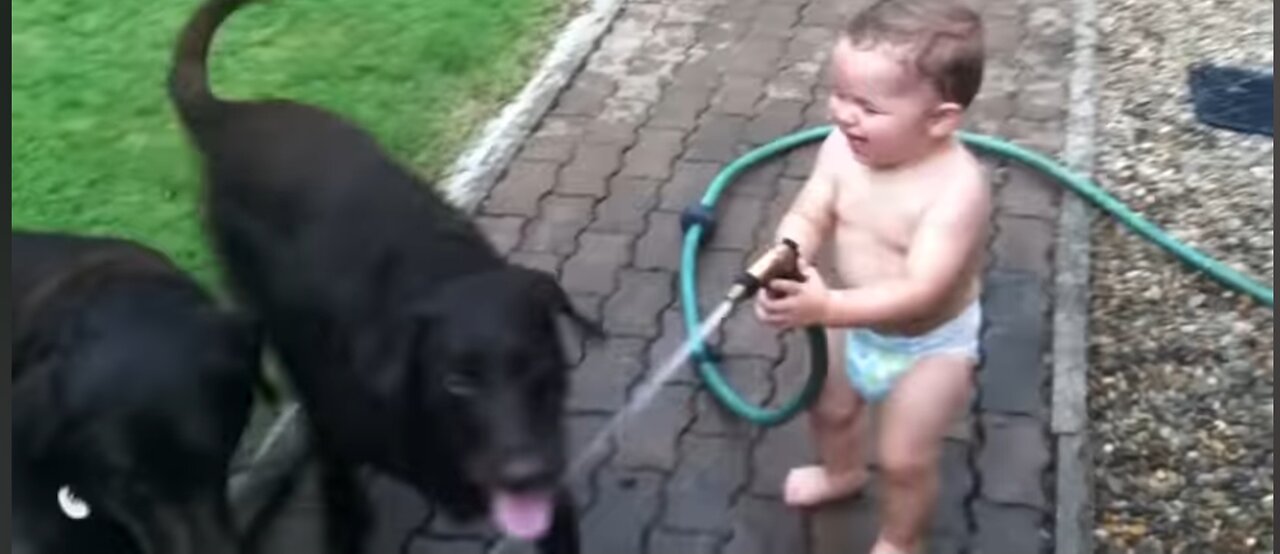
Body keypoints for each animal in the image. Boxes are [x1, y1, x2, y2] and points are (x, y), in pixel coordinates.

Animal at [165, 1, 593, 552]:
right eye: (457, 383)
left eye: (537, 365)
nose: (525, 474)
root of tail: (232, 116)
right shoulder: (338, 447)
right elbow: (344, 509)